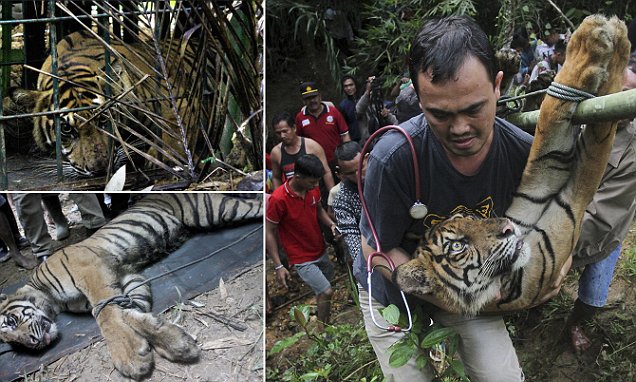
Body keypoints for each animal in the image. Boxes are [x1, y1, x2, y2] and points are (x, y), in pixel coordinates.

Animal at [0, 192, 262, 380]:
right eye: (13, 344)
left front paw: (128, 356)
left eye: (11, 322)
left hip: (215, 210)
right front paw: (172, 344)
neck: (52, 301)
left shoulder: (92, 271)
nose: (33, 344)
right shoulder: (127, 278)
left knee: (257, 204)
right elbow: (131, 312)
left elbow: (107, 316)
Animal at [2, 29, 204, 178]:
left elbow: (176, 128)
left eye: (103, 120)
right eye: (66, 129)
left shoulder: (175, 96)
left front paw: (165, 159)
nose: (99, 169)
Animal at [392, 14, 632, 316]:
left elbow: (547, 133)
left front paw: (609, 36)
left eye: (472, 219)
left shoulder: (533, 193)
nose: (507, 228)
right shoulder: (565, 221)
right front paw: (599, 42)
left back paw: (509, 63)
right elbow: (594, 143)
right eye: (457, 246)